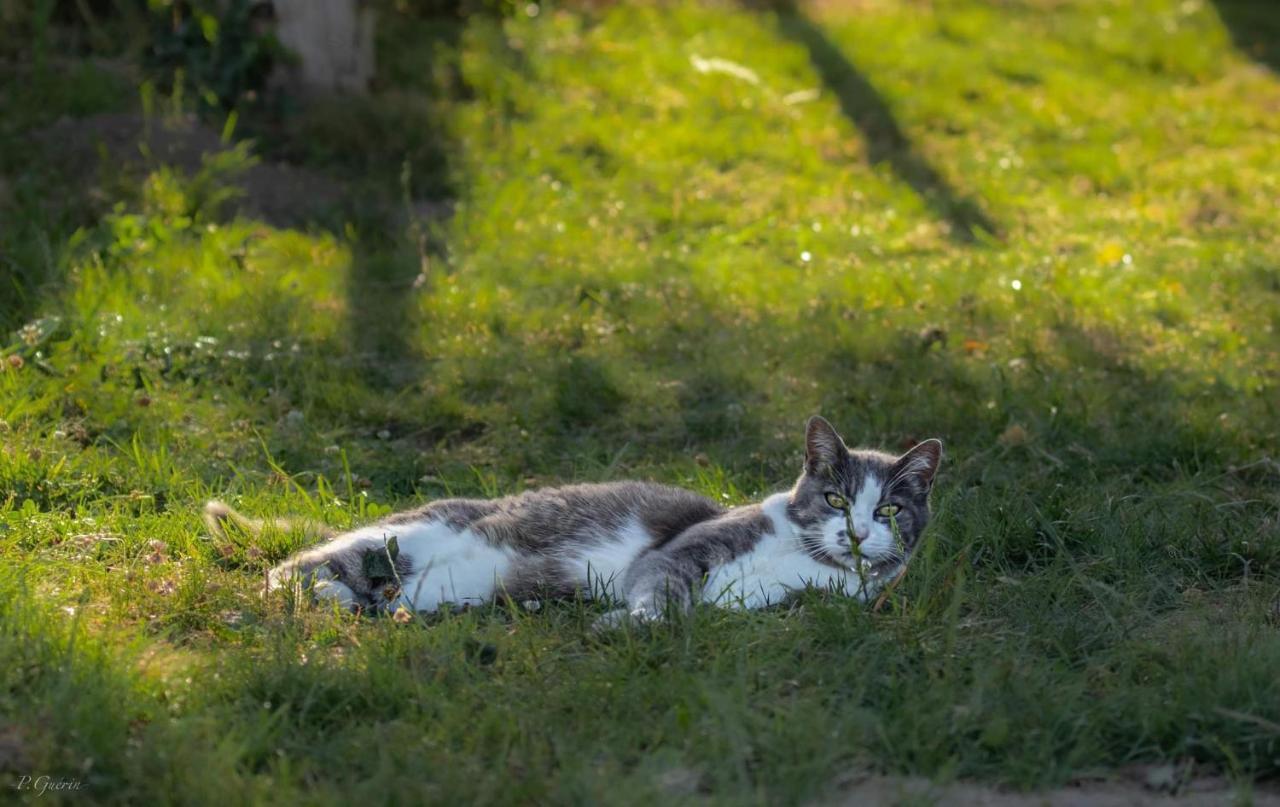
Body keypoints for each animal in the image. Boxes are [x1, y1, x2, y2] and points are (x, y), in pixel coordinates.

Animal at [209, 417, 942, 625]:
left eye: (888, 510)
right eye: (837, 499)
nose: (858, 532)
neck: (807, 558)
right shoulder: (684, 547)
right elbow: (663, 587)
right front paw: (631, 621)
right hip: (398, 538)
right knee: (296, 567)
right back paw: (324, 594)